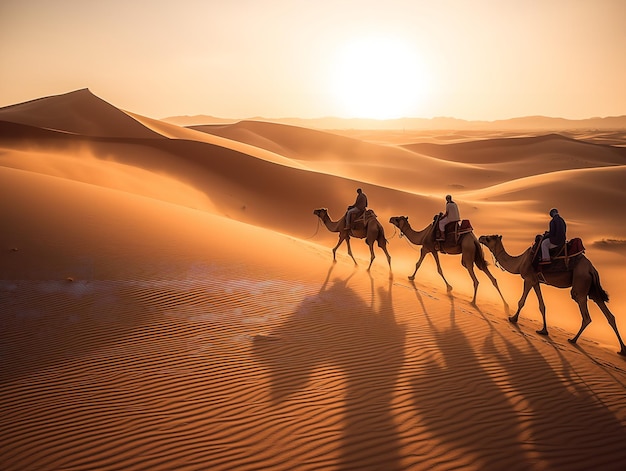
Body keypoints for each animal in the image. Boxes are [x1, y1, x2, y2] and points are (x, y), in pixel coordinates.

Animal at [478, 234, 624, 356]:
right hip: (593, 290)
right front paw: (543, 330)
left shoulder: (529, 279)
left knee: (586, 316)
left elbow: (522, 301)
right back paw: (622, 349)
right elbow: (542, 305)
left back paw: (573, 339)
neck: (520, 262)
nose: (480, 237)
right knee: (610, 316)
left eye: (489, 238)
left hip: (580, 285)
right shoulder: (536, 281)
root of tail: (591, 269)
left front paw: (513, 318)